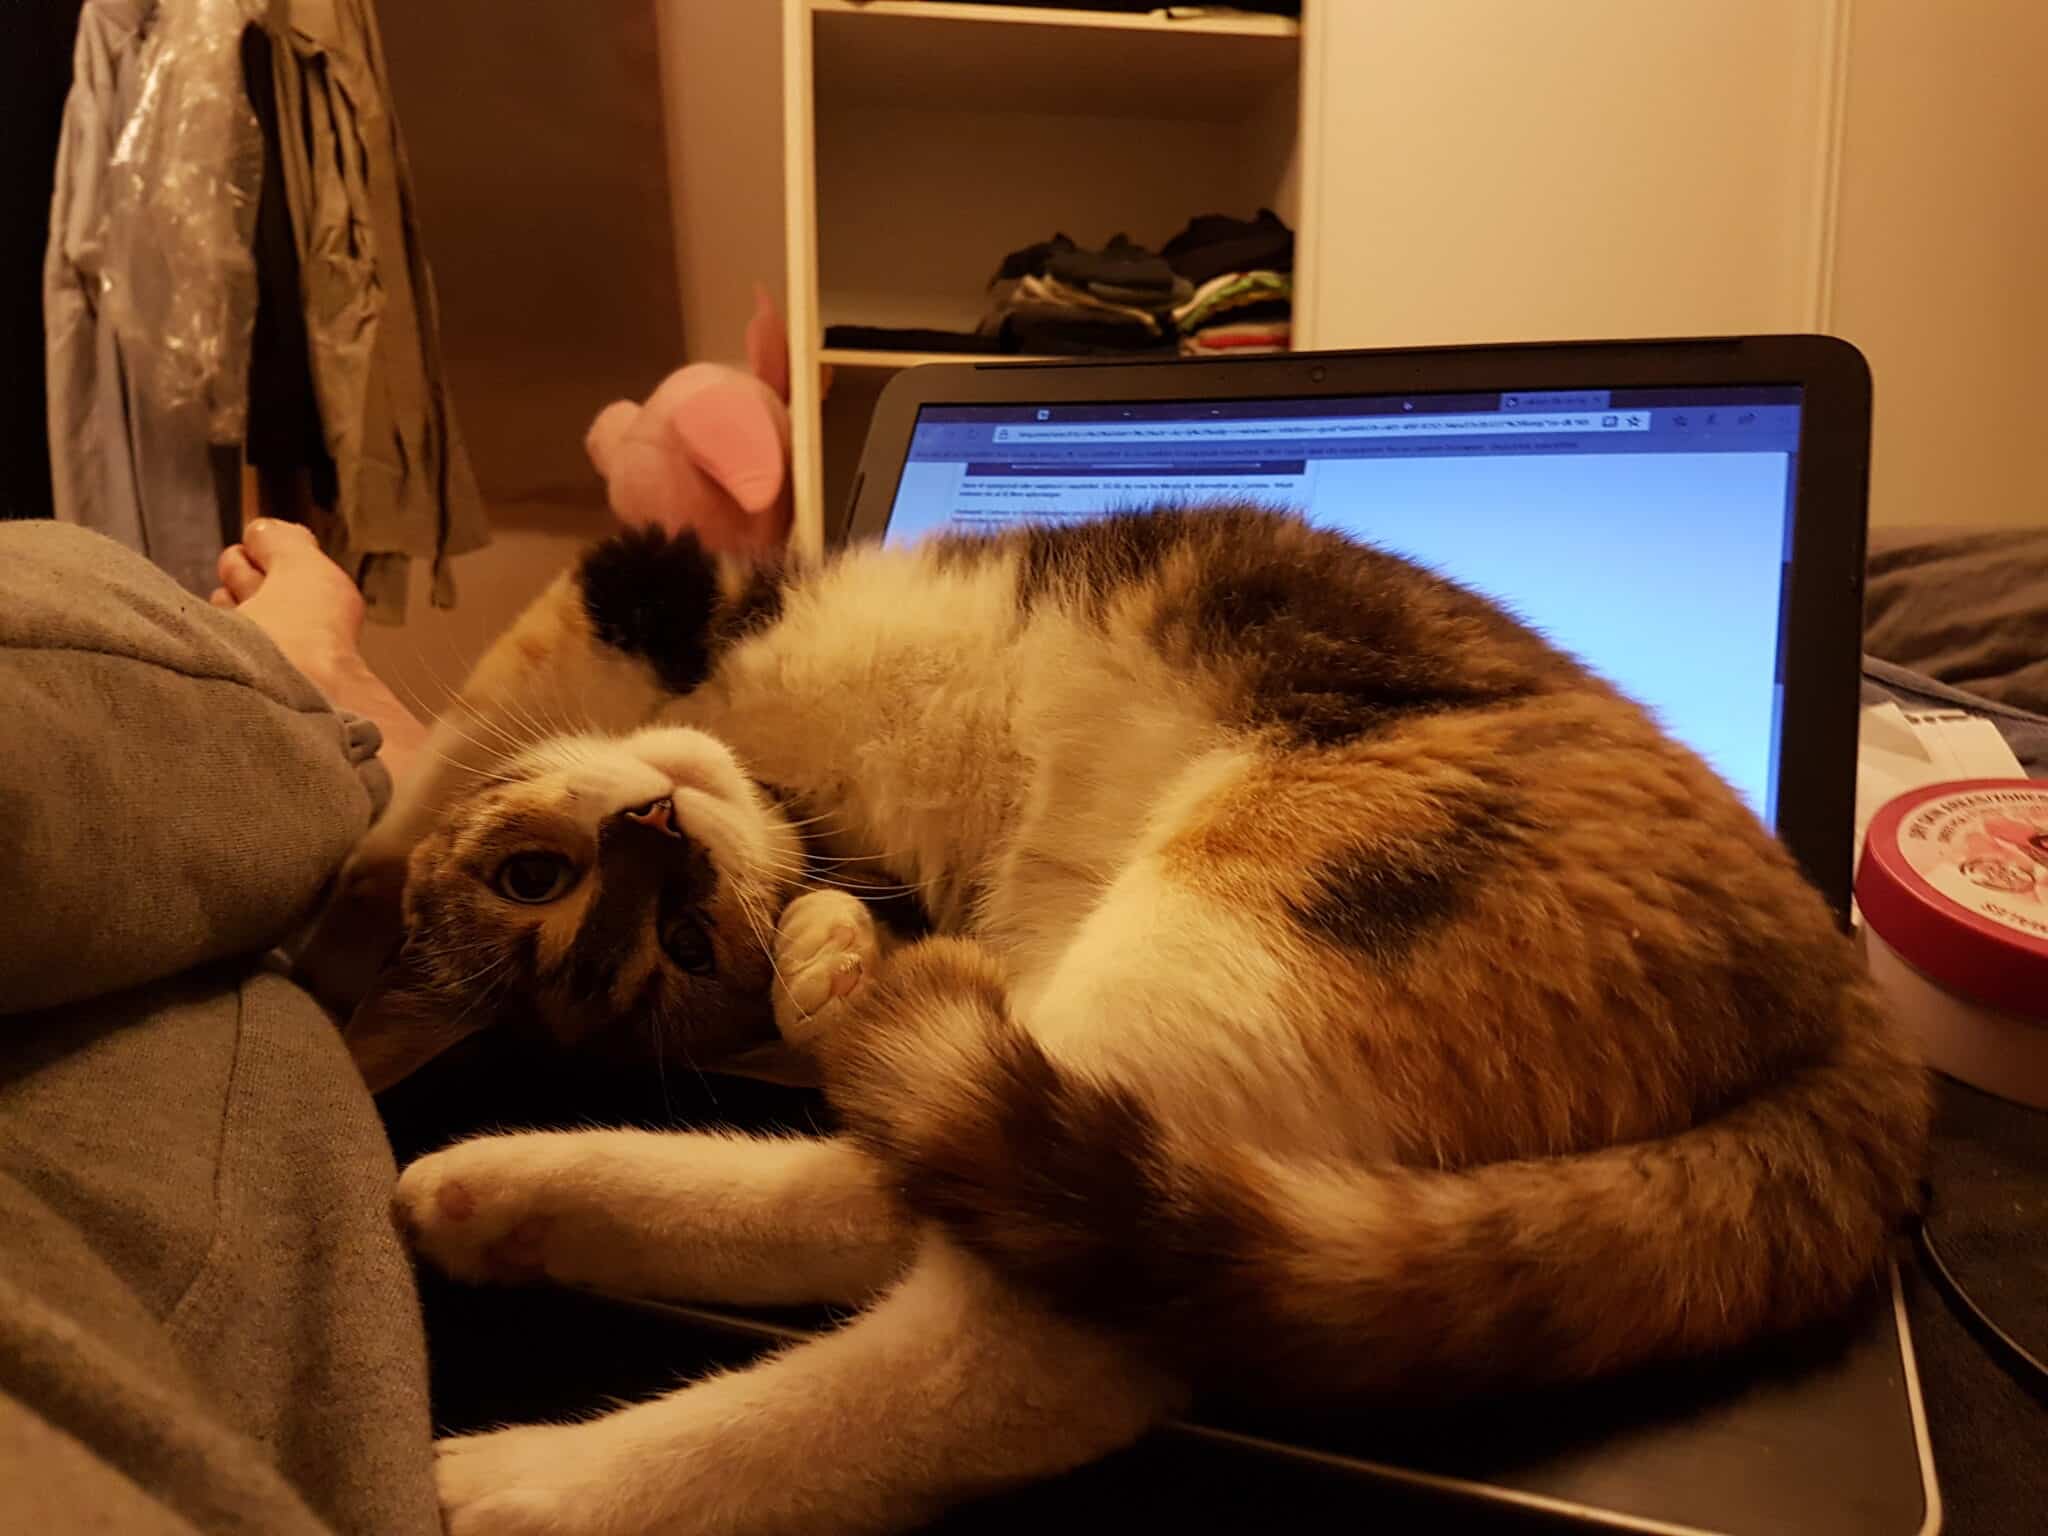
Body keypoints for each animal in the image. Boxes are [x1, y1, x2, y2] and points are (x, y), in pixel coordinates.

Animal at [345, 504, 1928, 1536]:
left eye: (550, 882)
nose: (659, 835)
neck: (815, 811)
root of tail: (1844, 1018)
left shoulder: (644, 594)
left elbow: (450, 745)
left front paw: (356, 900)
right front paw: (818, 957)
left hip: (1244, 912)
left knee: (1015, 1352)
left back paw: (523, 1484)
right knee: (914, 1202)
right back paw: (501, 1194)